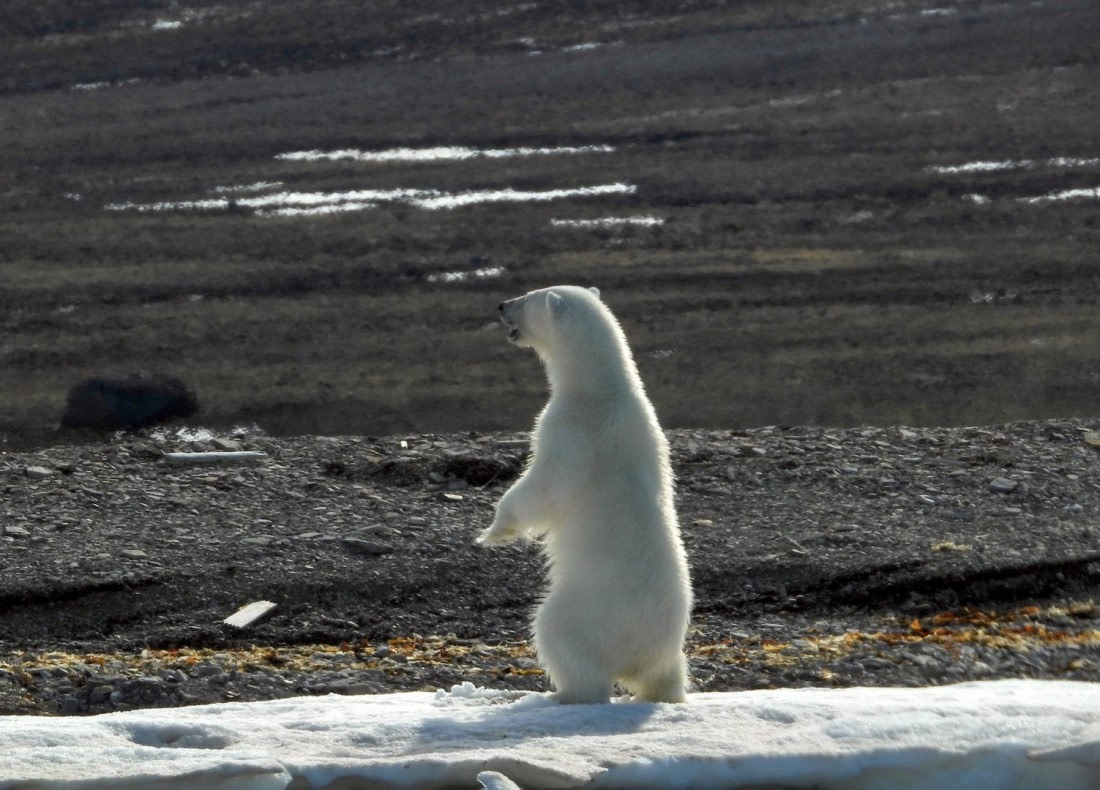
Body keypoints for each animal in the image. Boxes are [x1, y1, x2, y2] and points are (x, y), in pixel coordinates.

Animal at [477, 285, 692, 704]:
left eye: (526, 298)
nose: (501, 305)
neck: (602, 388)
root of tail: (641, 651)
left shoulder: (570, 429)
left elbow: (545, 485)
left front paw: (493, 532)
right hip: (667, 650)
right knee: (667, 677)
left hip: (586, 610)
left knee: (557, 635)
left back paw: (560, 694)